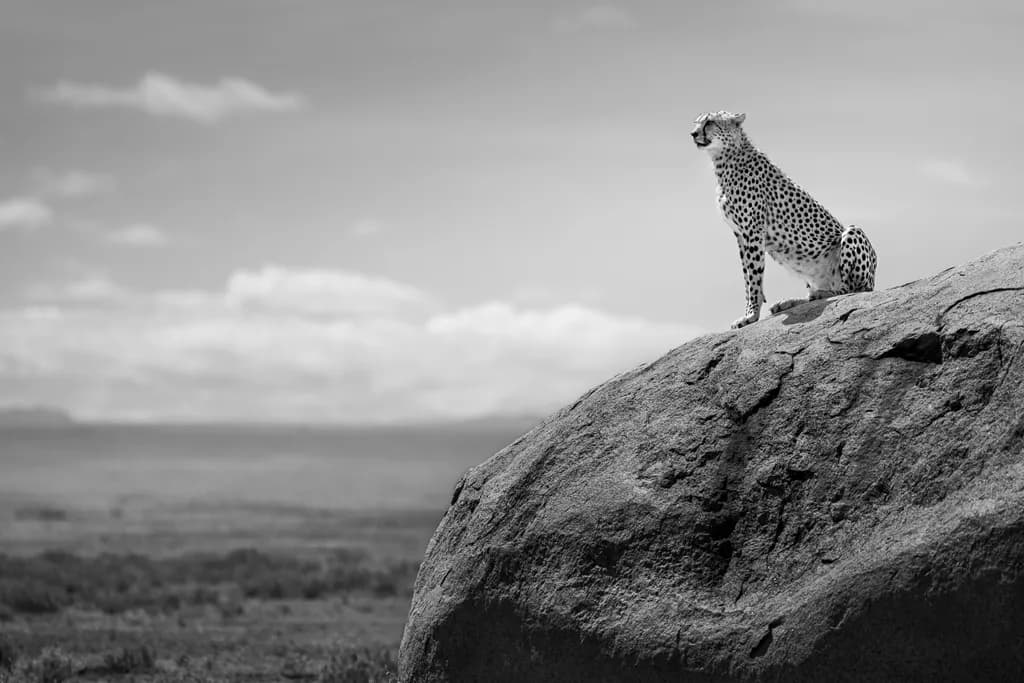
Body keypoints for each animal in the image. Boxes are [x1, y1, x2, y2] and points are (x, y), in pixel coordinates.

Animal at [691, 111, 877, 329]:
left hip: (853, 234)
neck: (725, 158)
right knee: (818, 292)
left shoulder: (753, 232)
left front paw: (751, 316)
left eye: (709, 122)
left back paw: (822, 293)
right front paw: (750, 312)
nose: (693, 133)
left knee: (850, 289)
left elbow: (754, 276)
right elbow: (747, 276)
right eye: (697, 122)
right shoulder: (740, 235)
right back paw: (793, 301)